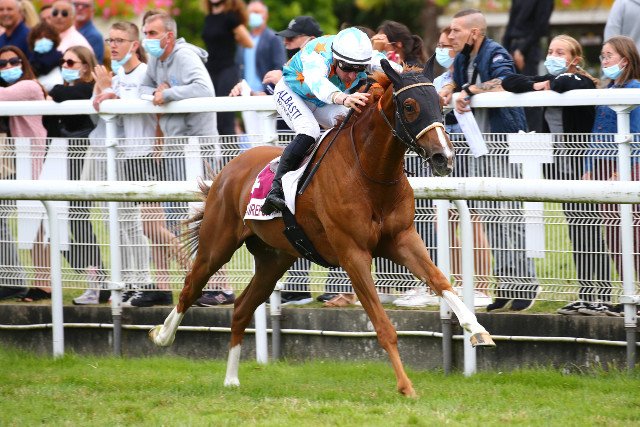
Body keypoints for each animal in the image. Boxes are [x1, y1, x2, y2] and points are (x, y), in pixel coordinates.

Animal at [149, 59, 495, 397]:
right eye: (409, 106)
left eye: (441, 104)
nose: (443, 157)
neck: (369, 172)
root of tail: (230, 167)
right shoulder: (353, 254)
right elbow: (383, 325)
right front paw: (405, 386)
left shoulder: (402, 239)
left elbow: (439, 280)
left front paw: (477, 330)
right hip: (217, 243)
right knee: (191, 286)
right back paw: (163, 335)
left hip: (274, 258)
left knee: (242, 307)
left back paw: (231, 379)